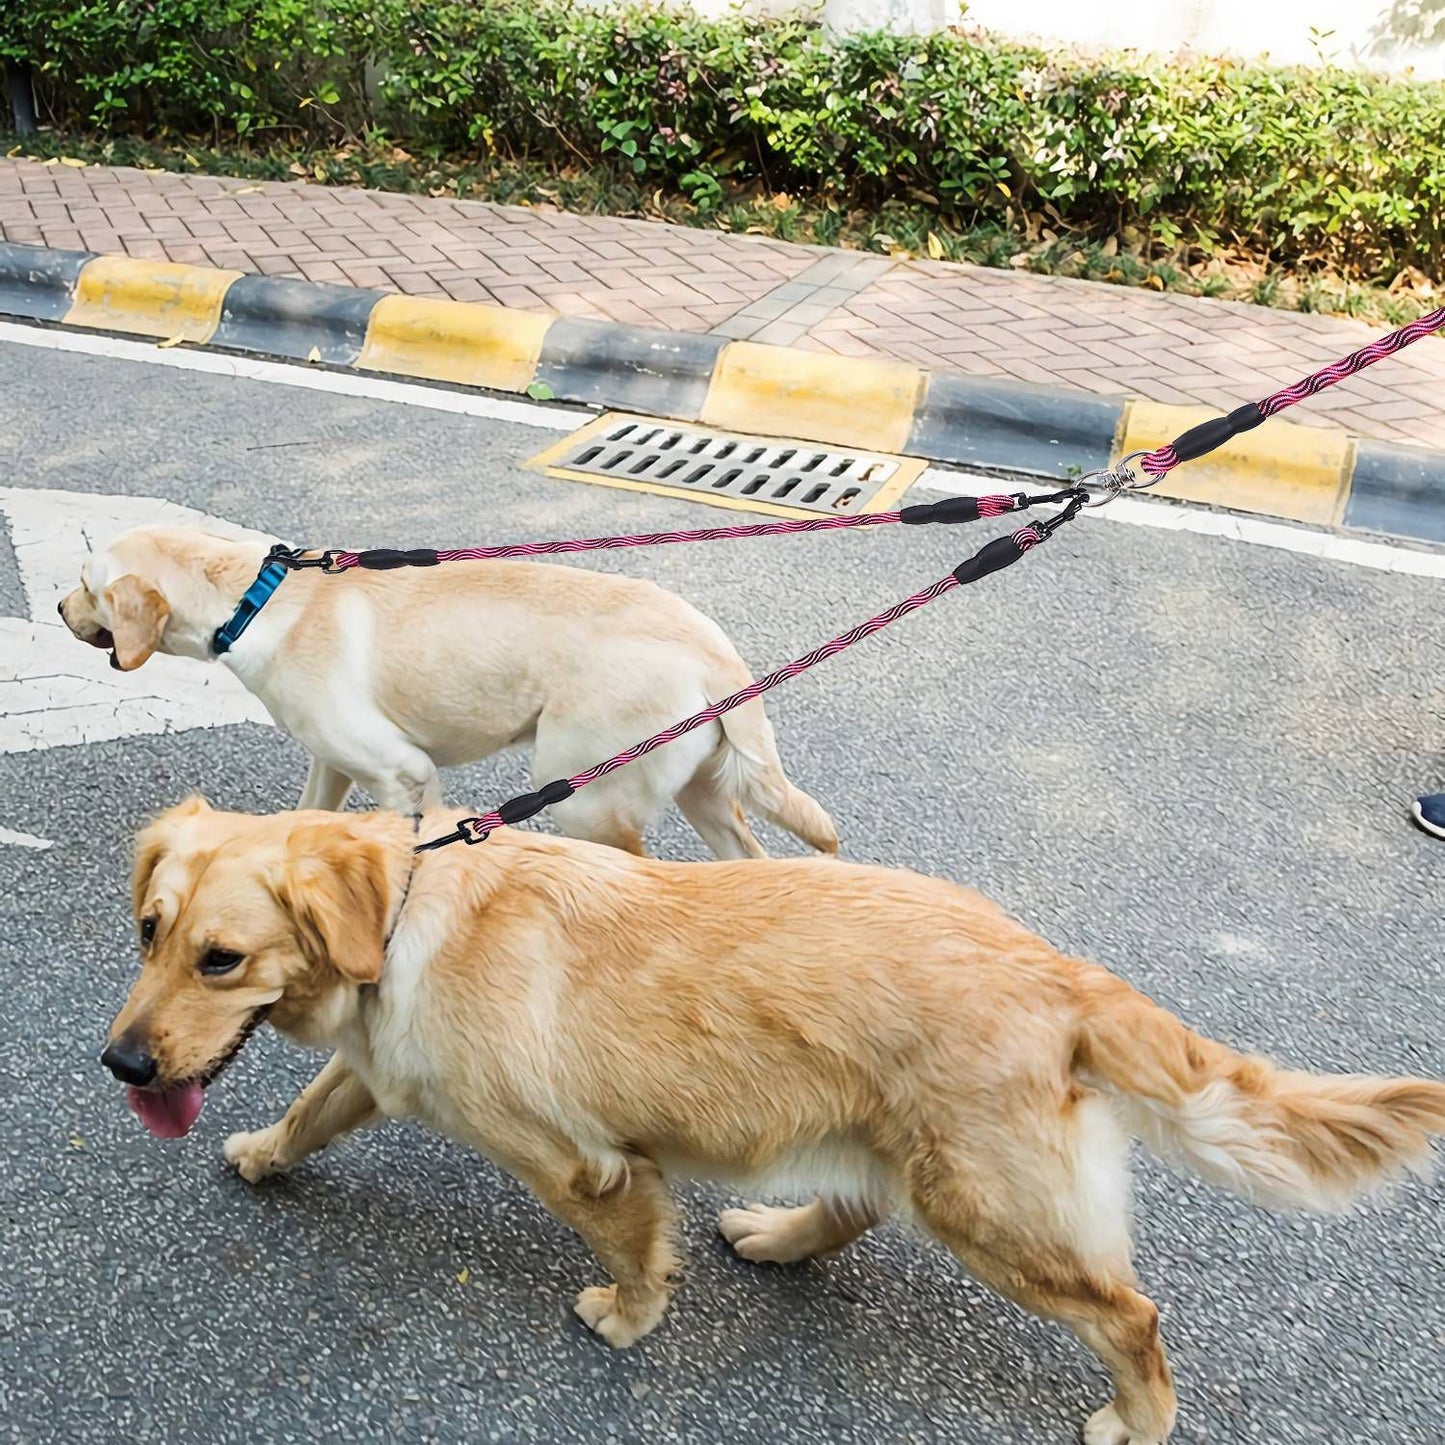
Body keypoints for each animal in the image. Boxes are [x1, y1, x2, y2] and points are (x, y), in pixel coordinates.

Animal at [59, 525, 838, 849]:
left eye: (87, 584)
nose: (62, 610)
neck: (255, 595)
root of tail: (714, 648)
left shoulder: (403, 774)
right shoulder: (333, 762)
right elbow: (306, 814)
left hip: (586, 795)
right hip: (700, 790)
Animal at [104, 803, 1445, 1445]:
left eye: (222, 958)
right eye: (147, 930)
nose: (118, 1060)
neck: (406, 912)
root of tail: (1060, 971)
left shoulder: (583, 1165)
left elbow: (631, 1250)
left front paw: (627, 1318)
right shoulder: (380, 1069)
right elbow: (311, 1106)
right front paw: (263, 1154)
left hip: (991, 1209)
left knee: (1132, 1315)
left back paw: (1140, 1415)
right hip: (901, 1151)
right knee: (852, 1210)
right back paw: (778, 1233)